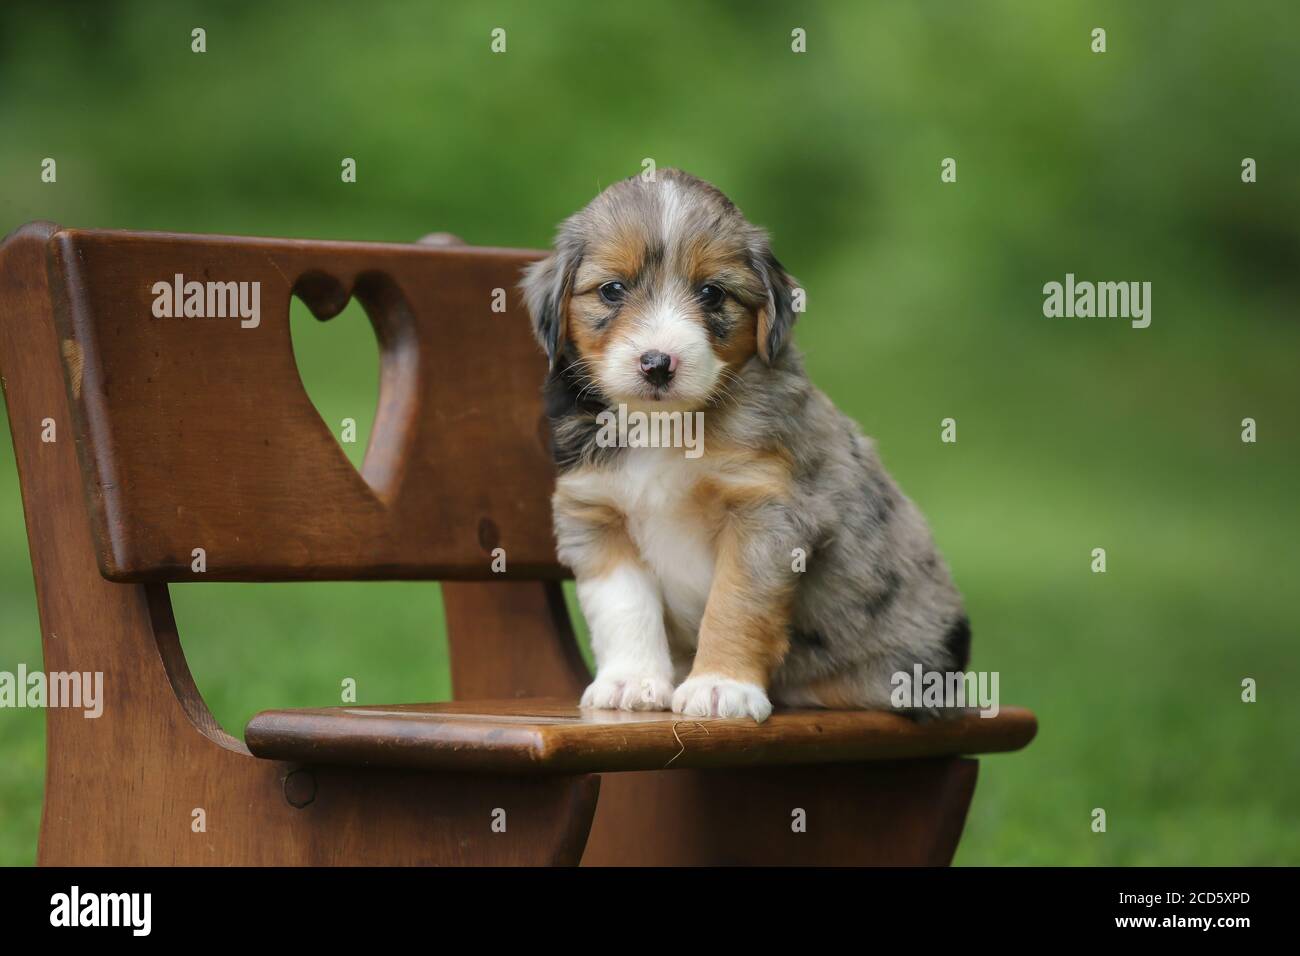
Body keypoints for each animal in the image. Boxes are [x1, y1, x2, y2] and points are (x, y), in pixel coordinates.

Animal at [522, 174, 972, 723]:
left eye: (712, 292)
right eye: (612, 289)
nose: (657, 363)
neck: (666, 427)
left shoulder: (766, 512)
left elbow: (736, 603)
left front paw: (721, 686)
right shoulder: (596, 512)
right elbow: (623, 604)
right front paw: (630, 682)